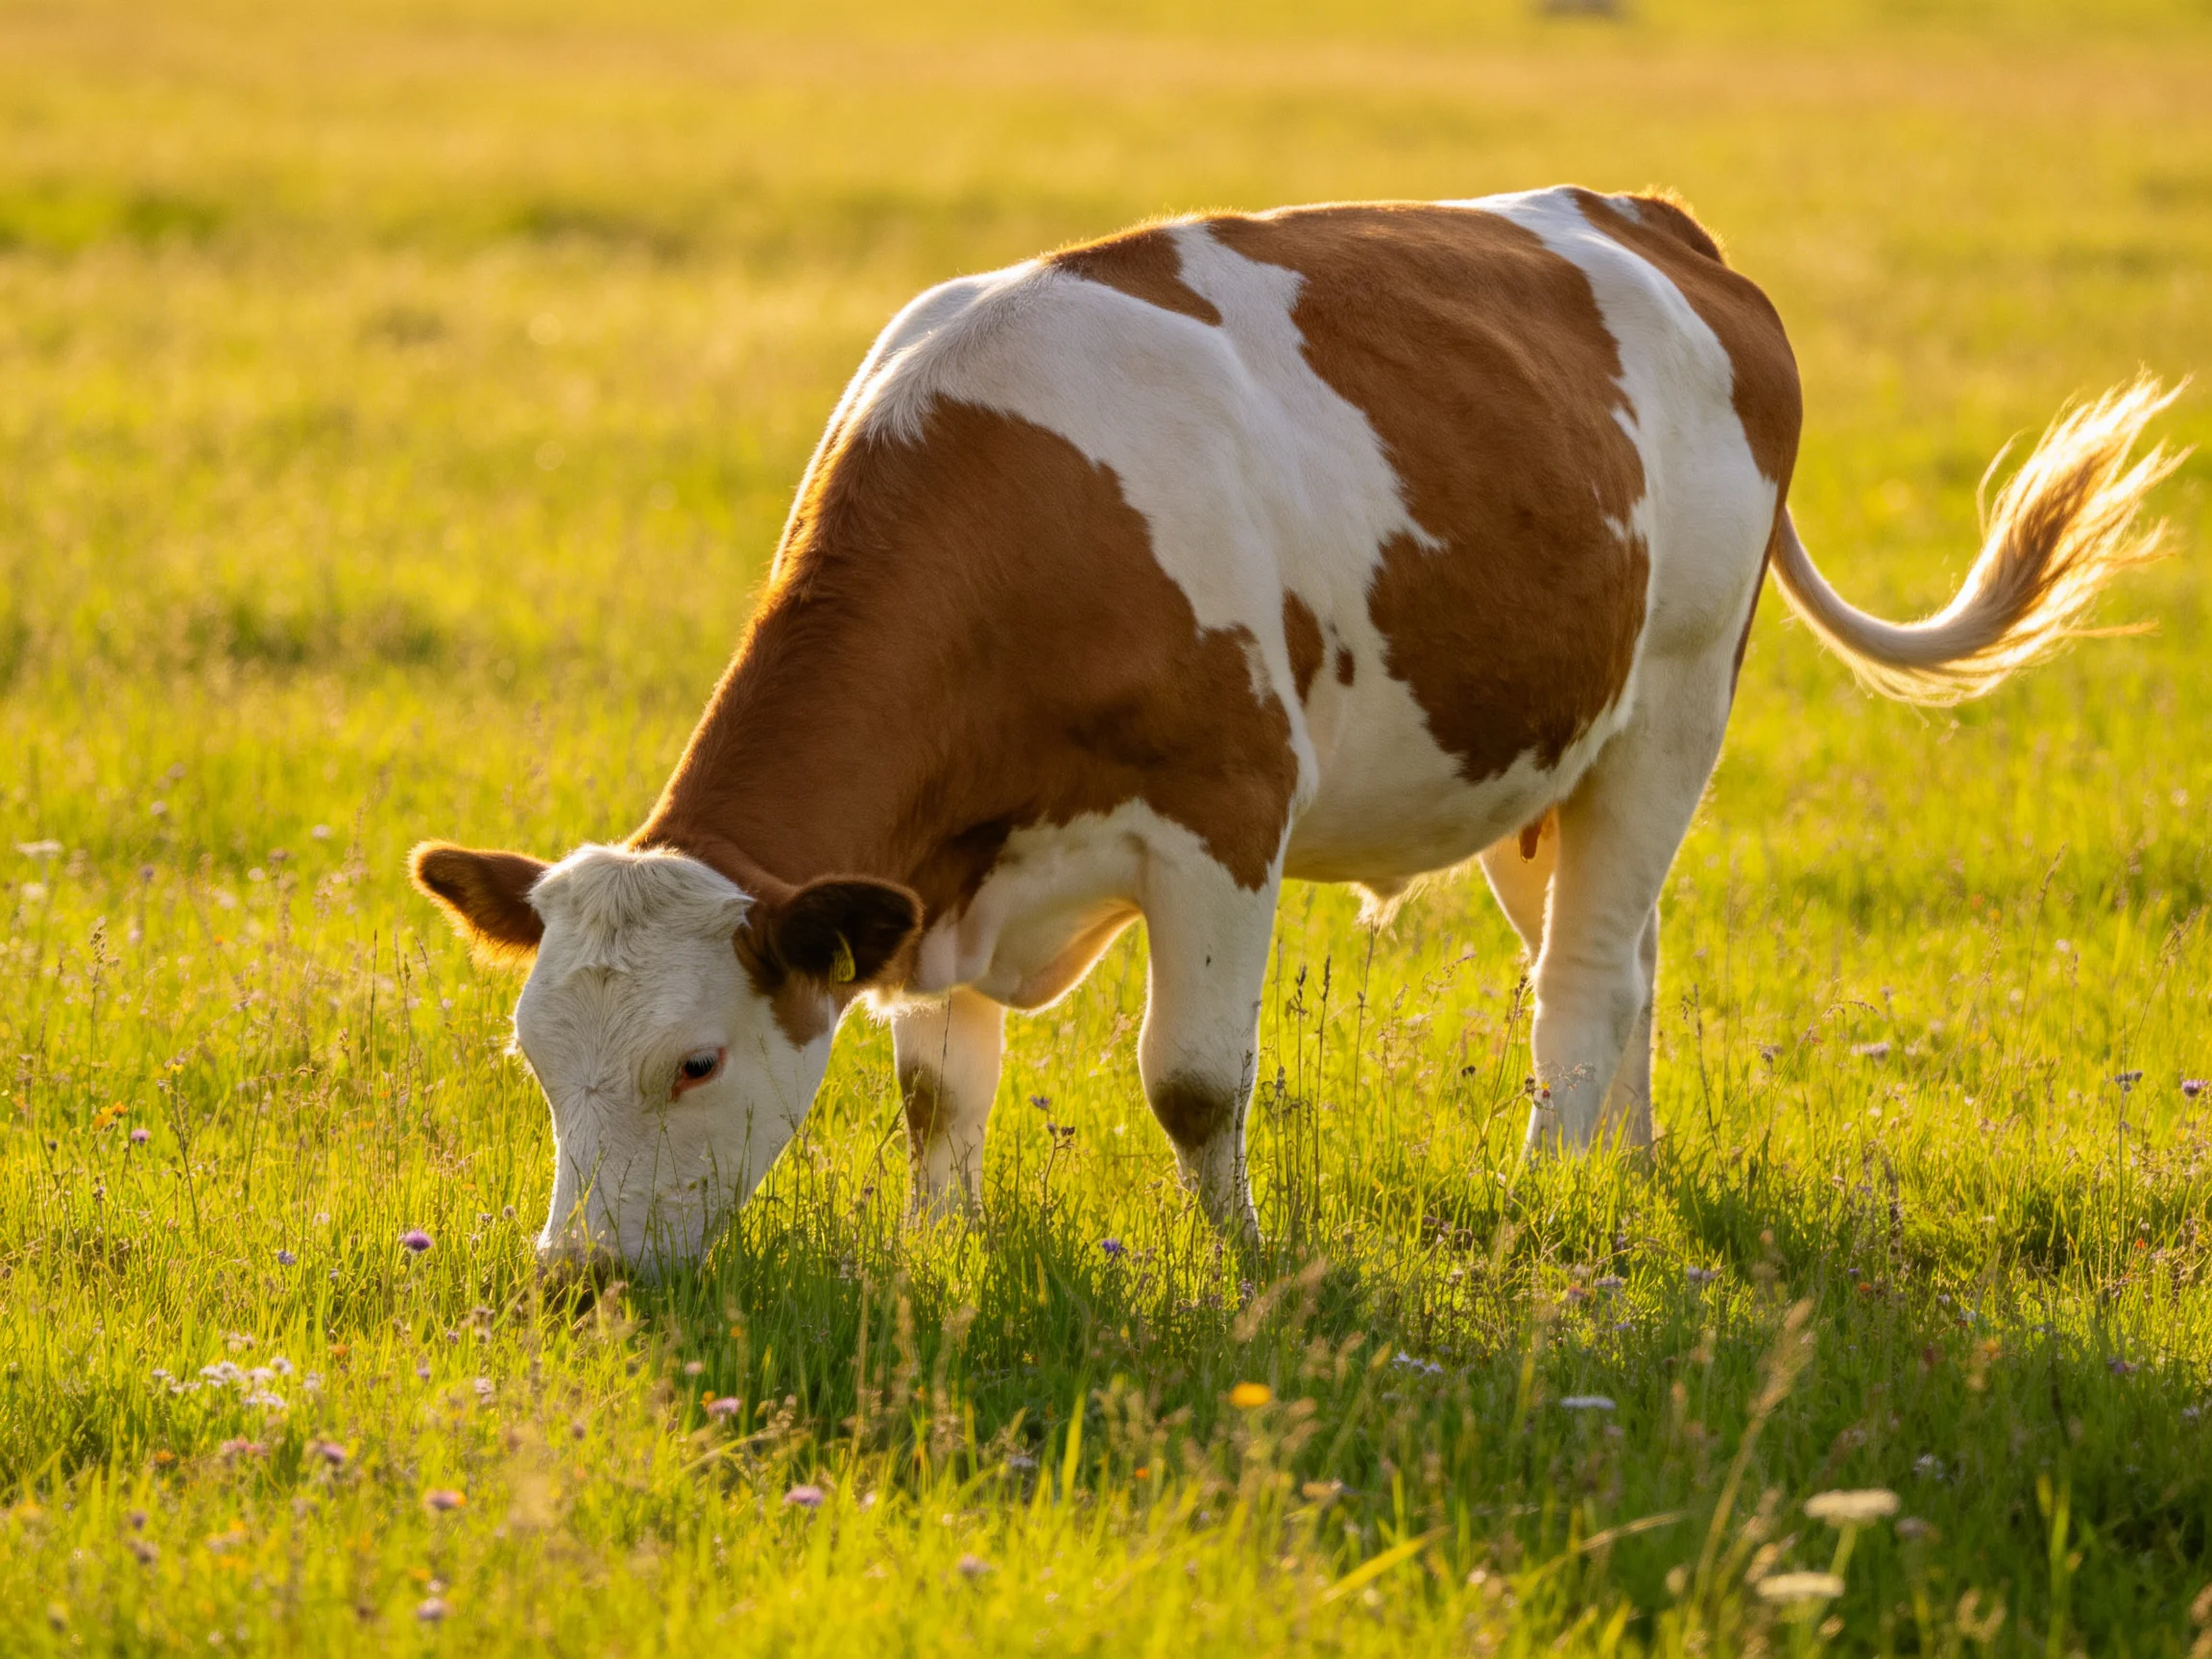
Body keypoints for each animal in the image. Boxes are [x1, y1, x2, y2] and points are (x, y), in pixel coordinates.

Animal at [410, 186, 2178, 1271]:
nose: (573, 1277)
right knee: (1620, 954)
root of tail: (1648, 220)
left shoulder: (1223, 811)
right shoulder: (933, 873)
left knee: (1581, 980)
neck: (1021, 515)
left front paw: (1246, 1262)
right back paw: (1624, 1167)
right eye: (534, 1059)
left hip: (1678, 698)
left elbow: (1193, 1083)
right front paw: (938, 1255)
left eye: (694, 1059)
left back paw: (1547, 1193)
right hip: (1547, 753)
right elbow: (937, 1089)